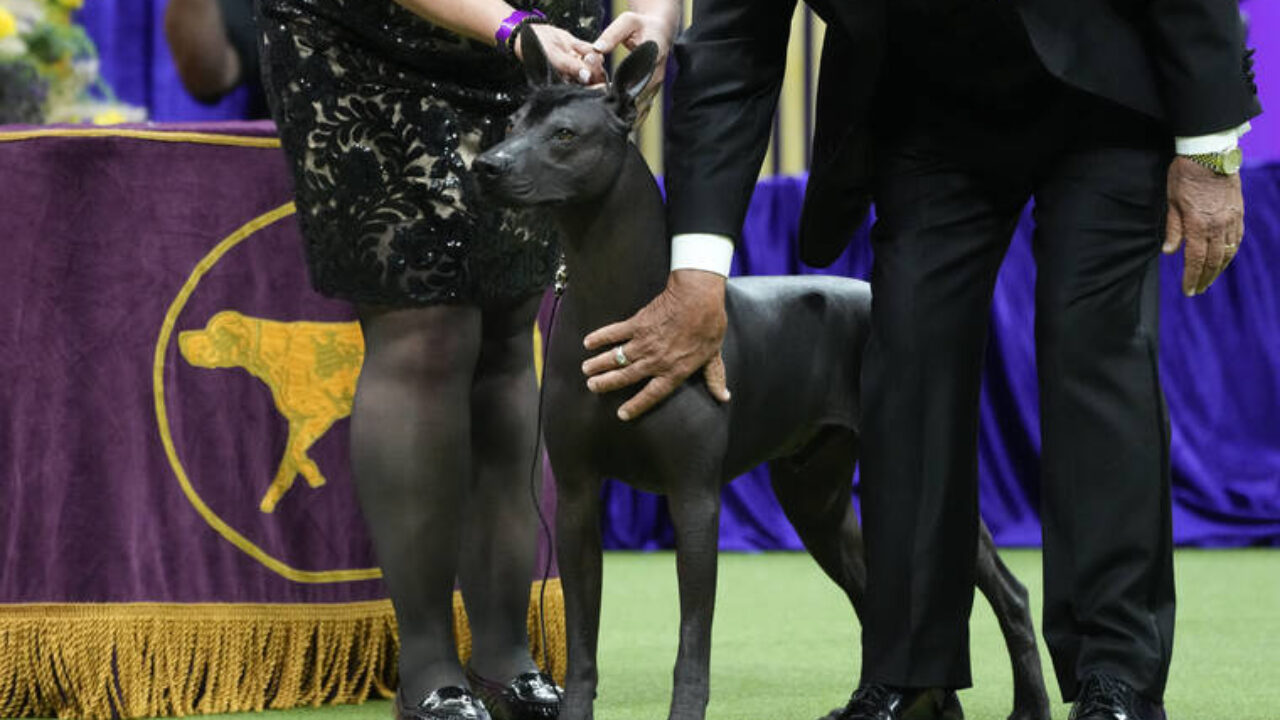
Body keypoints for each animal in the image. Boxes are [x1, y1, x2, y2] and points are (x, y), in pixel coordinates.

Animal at [473, 29, 1049, 720]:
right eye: (511, 123)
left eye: (563, 134)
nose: (486, 165)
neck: (621, 295)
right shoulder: (580, 500)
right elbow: (585, 648)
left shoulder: (695, 499)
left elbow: (693, 642)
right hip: (814, 500)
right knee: (872, 597)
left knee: (1010, 594)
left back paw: (1029, 704)